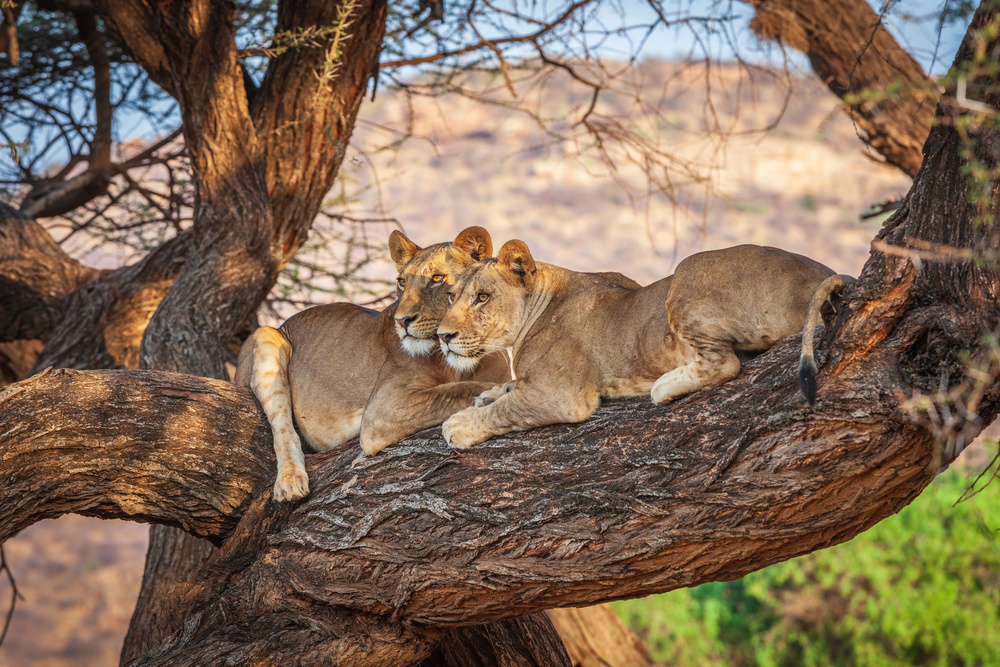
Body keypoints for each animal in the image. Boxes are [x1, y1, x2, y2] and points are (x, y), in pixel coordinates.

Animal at [235, 226, 509, 501]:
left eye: (437, 278)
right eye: (402, 282)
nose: (401, 321)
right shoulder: (383, 410)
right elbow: (454, 390)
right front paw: (494, 393)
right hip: (267, 336)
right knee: (283, 430)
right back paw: (290, 482)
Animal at [435, 241, 841, 448]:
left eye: (482, 298)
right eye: (452, 295)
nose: (442, 336)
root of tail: (828, 272)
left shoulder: (563, 395)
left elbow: (508, 409)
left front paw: (460, 425)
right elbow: (509, 391)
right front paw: (491, 393)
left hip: (687, 271)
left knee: (725, 362)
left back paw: (663, 386)